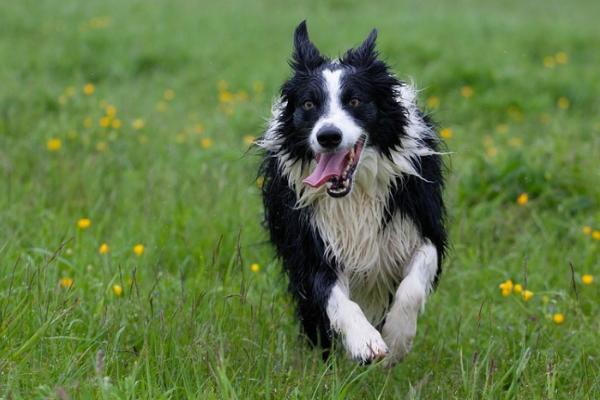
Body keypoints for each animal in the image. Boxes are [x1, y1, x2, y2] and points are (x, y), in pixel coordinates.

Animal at [256, 21, 446, 366]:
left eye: (355, 101)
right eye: (309, 104)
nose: (329, 136)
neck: (354, 194)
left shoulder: (424, 227)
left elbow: (413, 284)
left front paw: (397, 338)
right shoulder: (310, 242)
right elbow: (333, 297)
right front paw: (364, 341)